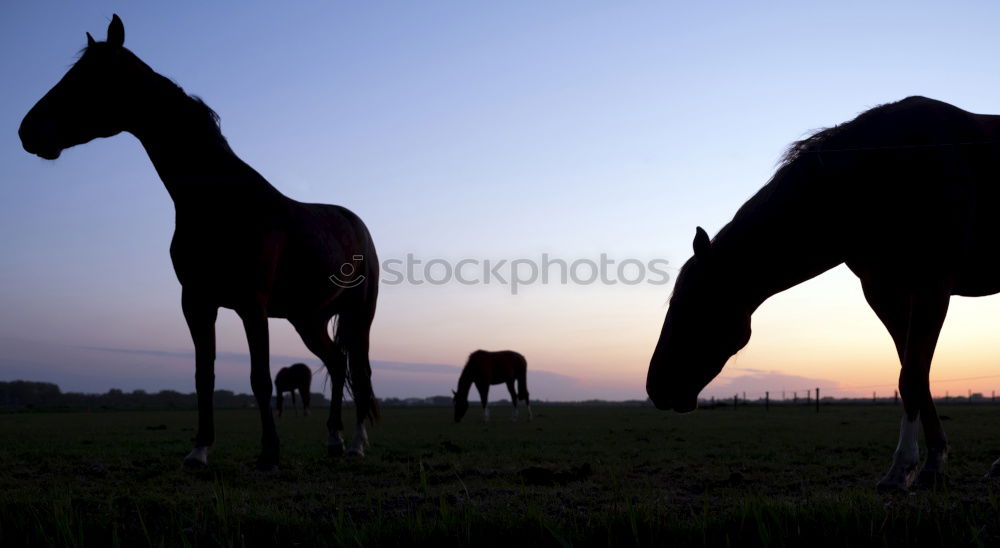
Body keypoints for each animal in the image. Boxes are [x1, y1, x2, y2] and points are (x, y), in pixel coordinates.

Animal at [19, 17, 378, 470]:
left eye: (87, 78)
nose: (27, 131)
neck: (219, 202)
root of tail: (355, 223)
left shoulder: (251, 304)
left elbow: (259, 377)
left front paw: (269, 453)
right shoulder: (196, 301)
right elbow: (202, 375)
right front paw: (199, 449)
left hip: (358, 315)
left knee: (359, 370)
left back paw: (356, 444)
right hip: (307, 318)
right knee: (335, 360)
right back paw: (333, 439)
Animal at [644, 95, 1000, 492]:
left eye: (690, 305)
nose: (657, 387)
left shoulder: (932, 285)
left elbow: (910, 377)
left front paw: (907, 470)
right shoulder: (885, 294)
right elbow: (915, 375)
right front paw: (928, 464)